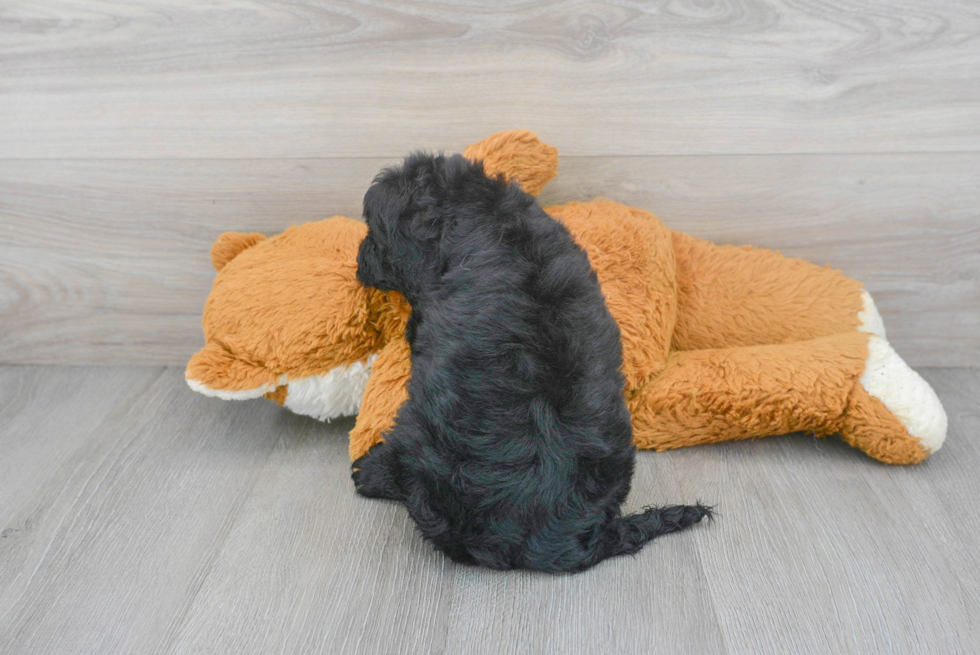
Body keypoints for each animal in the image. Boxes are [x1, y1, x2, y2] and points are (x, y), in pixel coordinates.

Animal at [356, 151, 708, 572]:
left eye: (374, 232)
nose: (358, 262)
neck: (480, 212)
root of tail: (569, 540)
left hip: (419, 438)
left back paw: (370, 470)